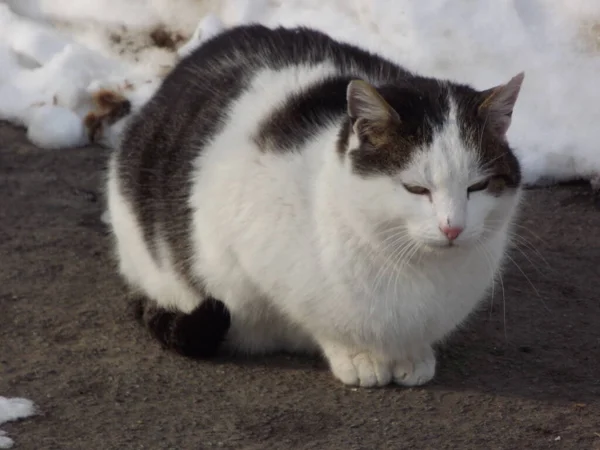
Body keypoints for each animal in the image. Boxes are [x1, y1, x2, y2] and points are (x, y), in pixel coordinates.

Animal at [105, 23, 524, 386]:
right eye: (416, 189)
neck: (413, 266)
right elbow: (315, 319)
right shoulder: (239, 238)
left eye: (478, 186)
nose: (453, 227)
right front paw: (357, 356)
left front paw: (412, 354)